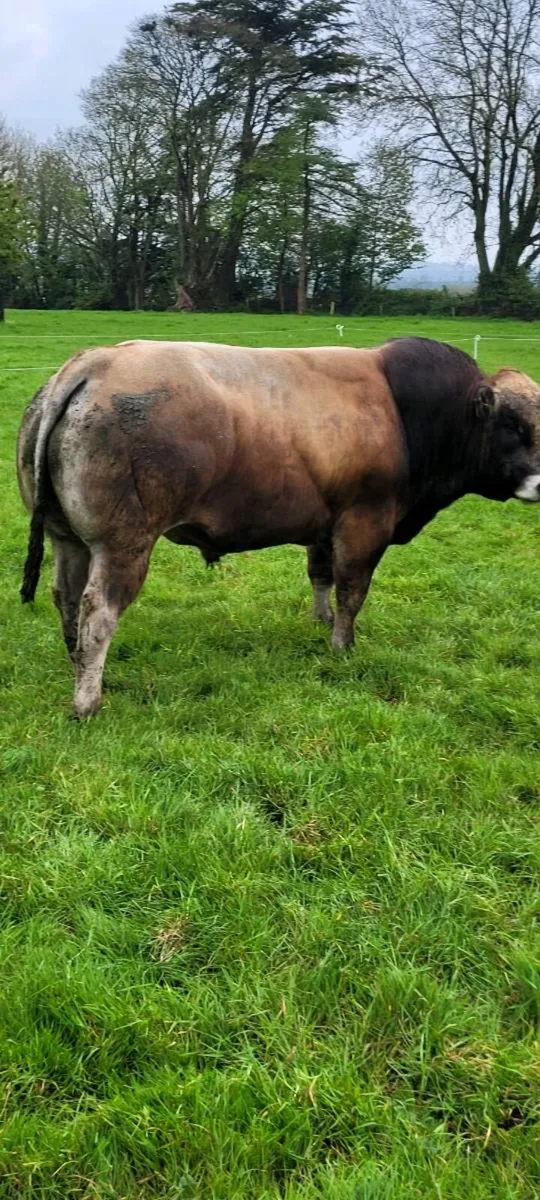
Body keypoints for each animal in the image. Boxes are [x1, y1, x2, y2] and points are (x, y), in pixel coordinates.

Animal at [17, 336, 540, 719]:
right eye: (515, 426)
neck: (407, 411)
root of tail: (94, 363)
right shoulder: (364, 523)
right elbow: (352, 590)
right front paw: (343, 646)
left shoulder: (326, 526)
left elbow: (322, 577)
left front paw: (320, 621)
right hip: (123, 544)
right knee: (98, 612)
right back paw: (88, 700)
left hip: (69, 539)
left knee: (66, 597)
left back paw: (74, 659)